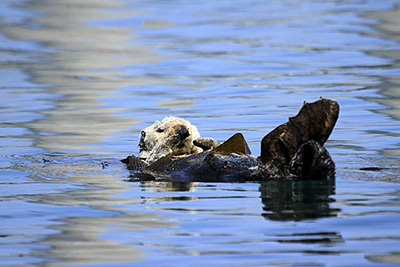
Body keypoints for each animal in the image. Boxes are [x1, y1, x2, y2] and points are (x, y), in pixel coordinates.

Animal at [121, 98, 338, 182]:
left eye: (190, 128)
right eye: (161, 129)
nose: (183, 131)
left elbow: (212, 146)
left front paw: (204, 142)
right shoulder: (147, 160)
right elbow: (158, 153)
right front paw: (172, 139)